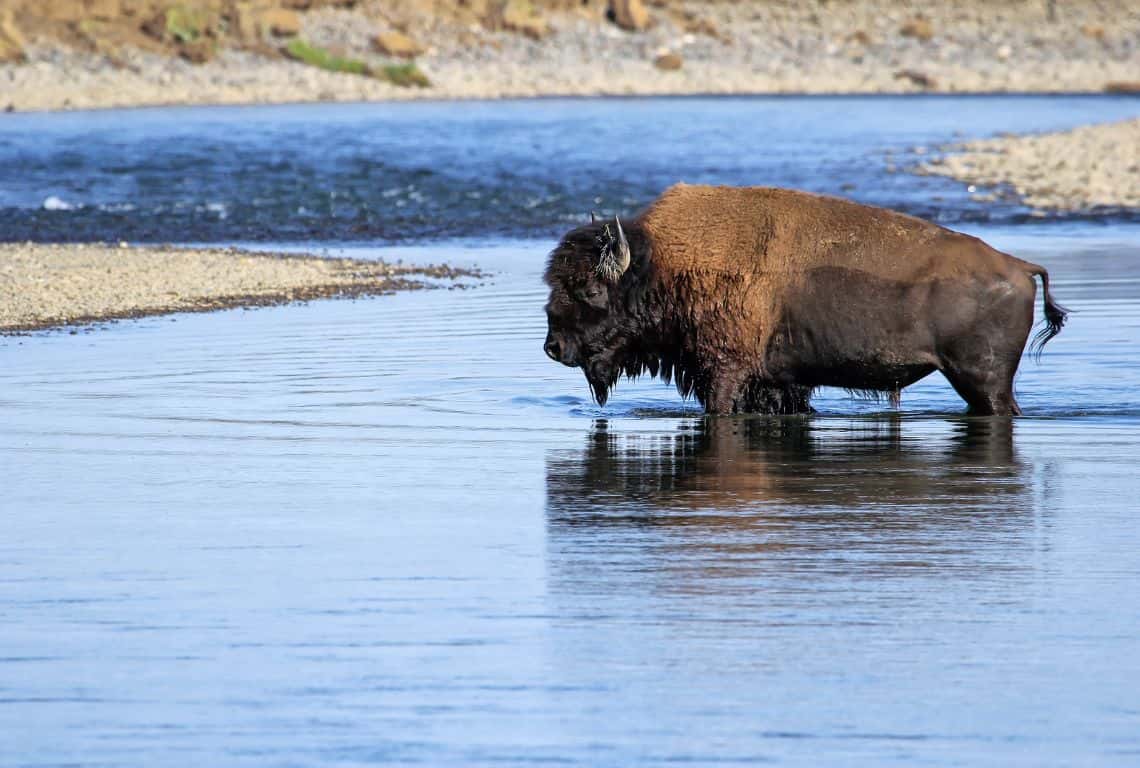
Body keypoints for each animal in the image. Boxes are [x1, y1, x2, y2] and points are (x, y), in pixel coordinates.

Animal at [542, 181, 1067, 412]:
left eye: (590, 288)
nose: (553, 347)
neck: (664, 265)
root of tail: (1020, 266)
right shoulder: (779, 385)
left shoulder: (724, 373)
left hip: (982, 382)